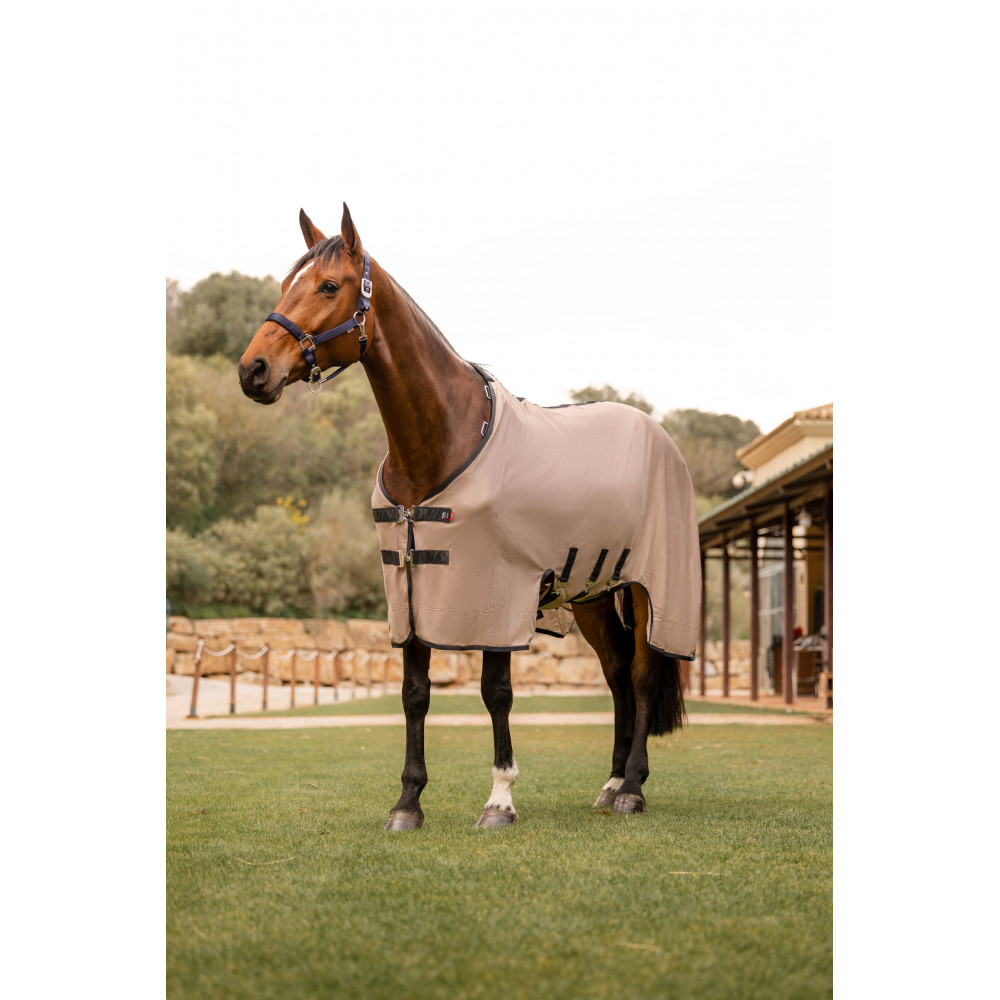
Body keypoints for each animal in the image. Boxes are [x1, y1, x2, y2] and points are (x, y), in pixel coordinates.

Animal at [238, 204, 701, 831]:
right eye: (288, 283)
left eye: (329, 286)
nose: (252, 370)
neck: (444, 439)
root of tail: (659, 434)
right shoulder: (411, 585)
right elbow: (415, 693)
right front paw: (407, 803)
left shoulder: (495, 594)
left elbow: (496, 693)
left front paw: (499, 800)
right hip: (593, 595)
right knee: (616, 675)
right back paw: (609, 785)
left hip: (653, 587)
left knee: (644, 673)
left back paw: (631, 788)